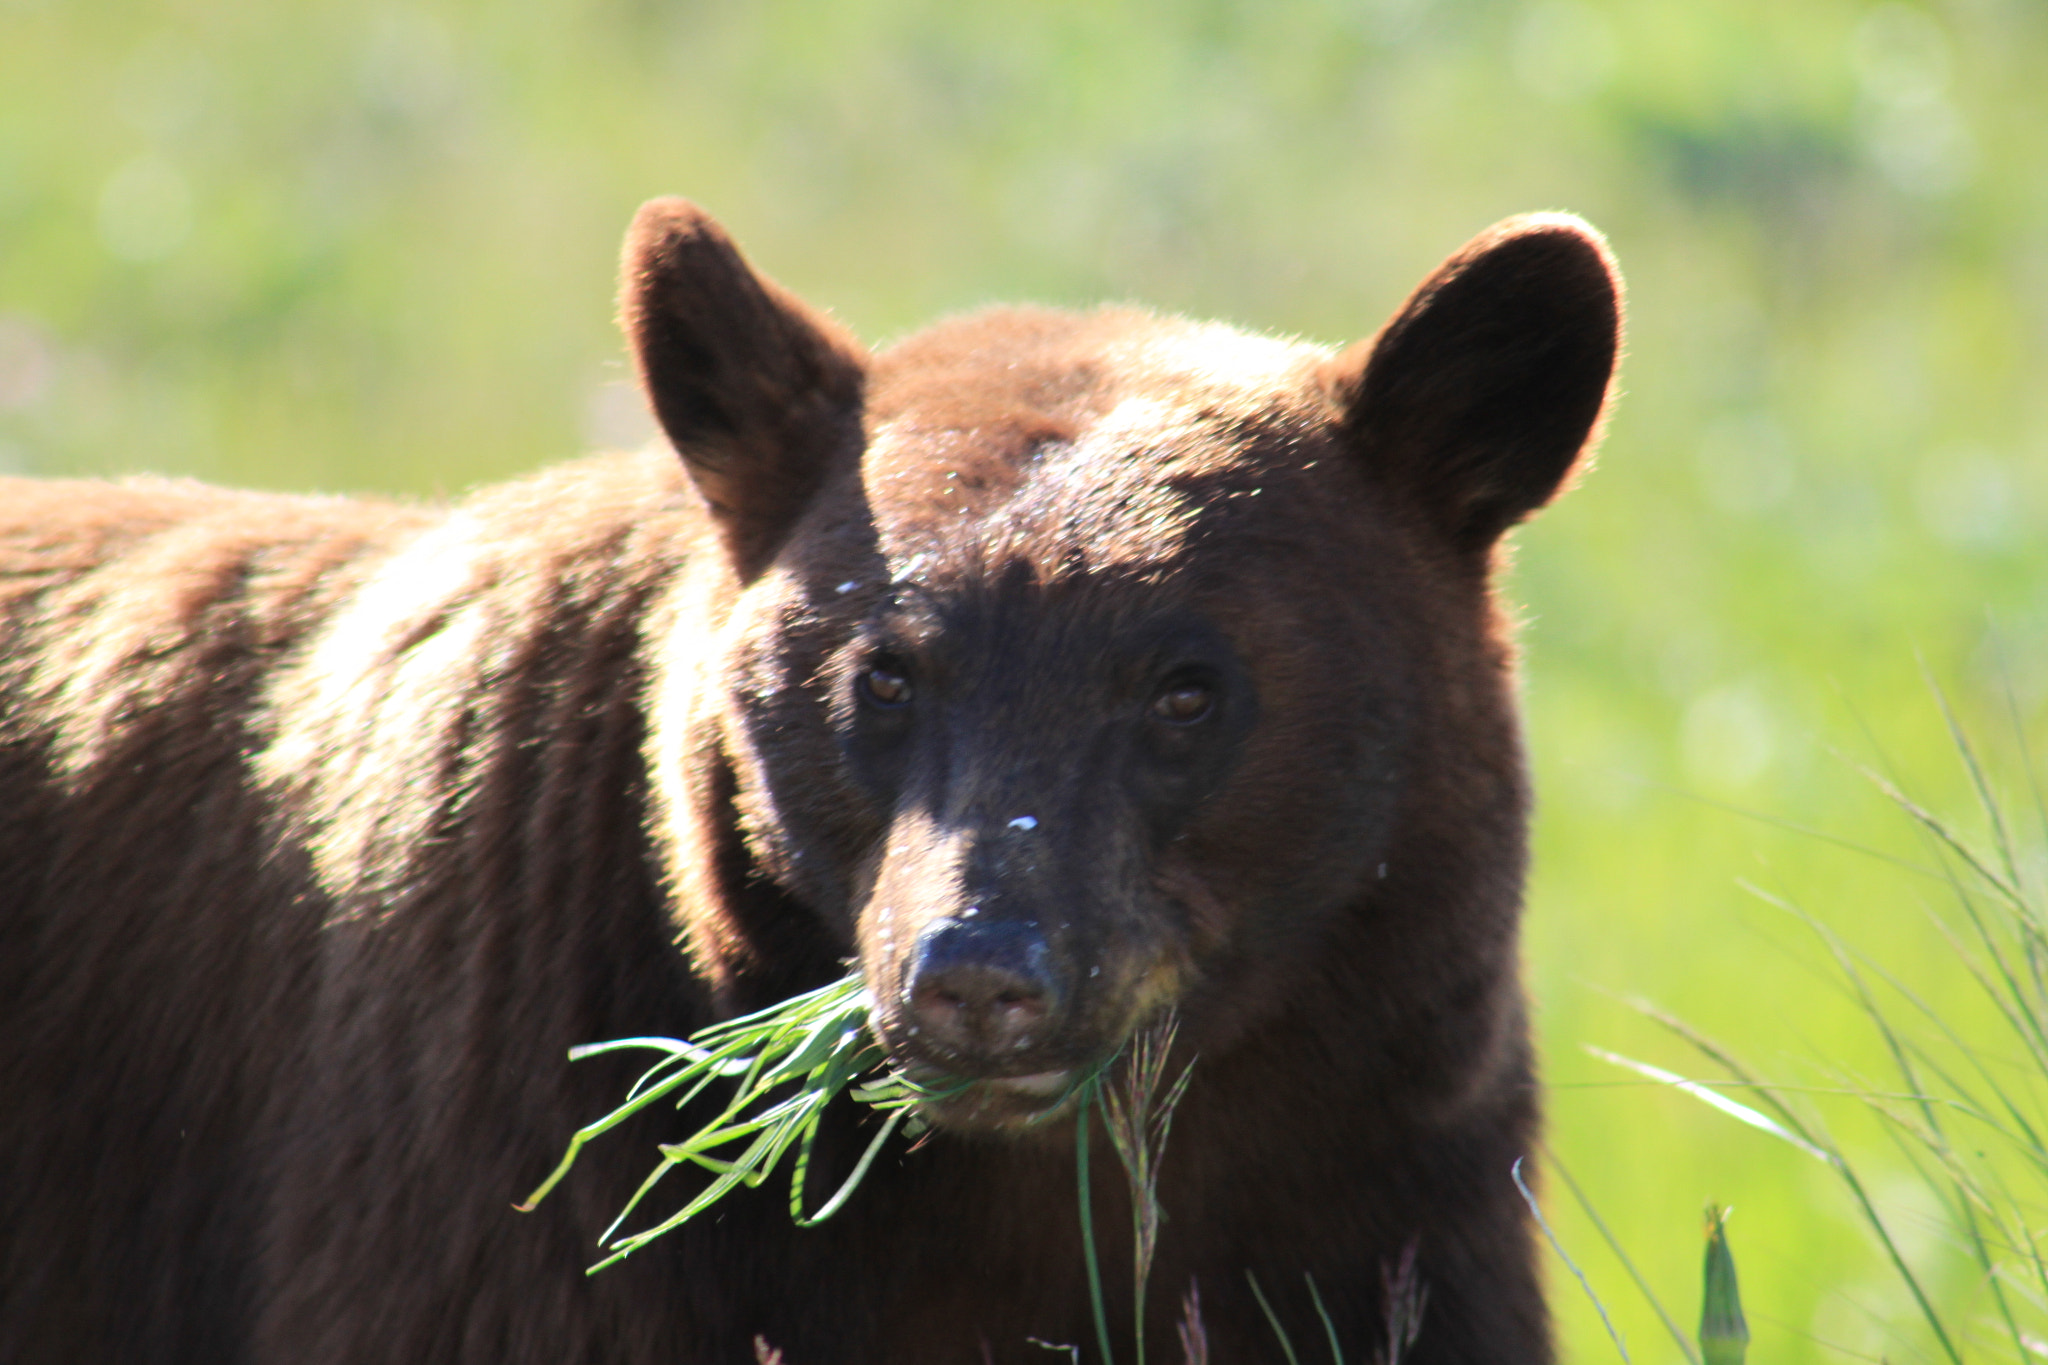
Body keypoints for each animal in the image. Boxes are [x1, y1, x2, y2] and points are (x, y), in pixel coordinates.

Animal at [4, 194, 1613, 1365]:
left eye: (1186, 687)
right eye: (882, 675)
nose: (978, 973)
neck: (1019, 1191)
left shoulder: (1383, 1187)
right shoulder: (518, 1180)